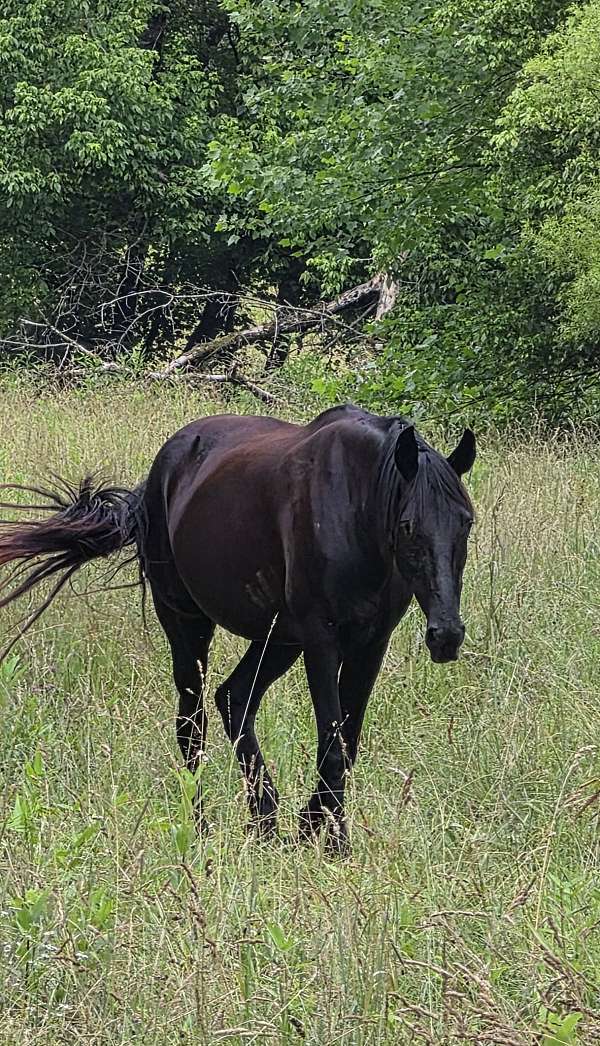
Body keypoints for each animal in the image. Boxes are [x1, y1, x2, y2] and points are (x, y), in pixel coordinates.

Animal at [0, 404, 475, 853]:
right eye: (409, 525)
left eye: (466, 520)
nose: (446, 636)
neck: (353, 506)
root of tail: (156, 477)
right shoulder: (322, 641)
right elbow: (332, 741)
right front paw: (335, 842)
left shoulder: (370, 643)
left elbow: (347, 741)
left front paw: (313, 828)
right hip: (187, 623)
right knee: (192, 725)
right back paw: (203, 828)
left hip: (278, 639)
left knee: (235, 698)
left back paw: (265, 820)